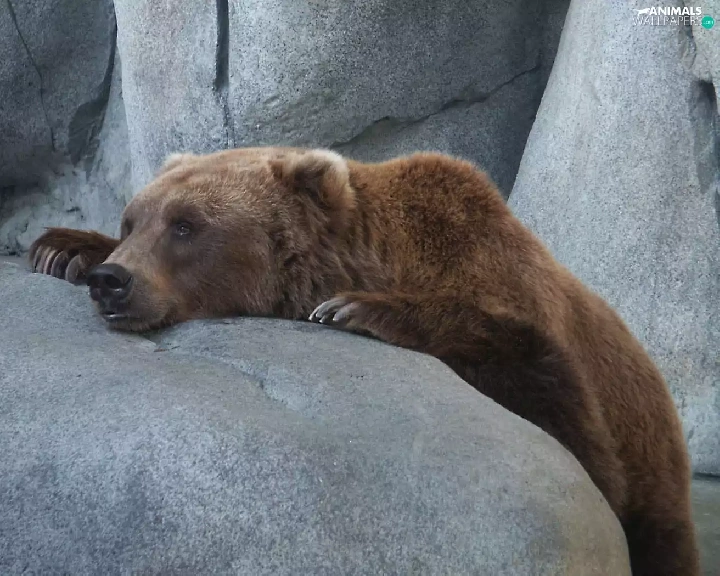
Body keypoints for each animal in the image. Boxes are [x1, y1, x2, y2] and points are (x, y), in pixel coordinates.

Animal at [28, 147, 699, 576]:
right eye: (131, 221)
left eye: (187, 225)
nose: (113, 282)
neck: (387, 258)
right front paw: (61, 248)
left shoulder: (515, 306)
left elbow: (557, 408)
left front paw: (351, 309)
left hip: (656, 487)